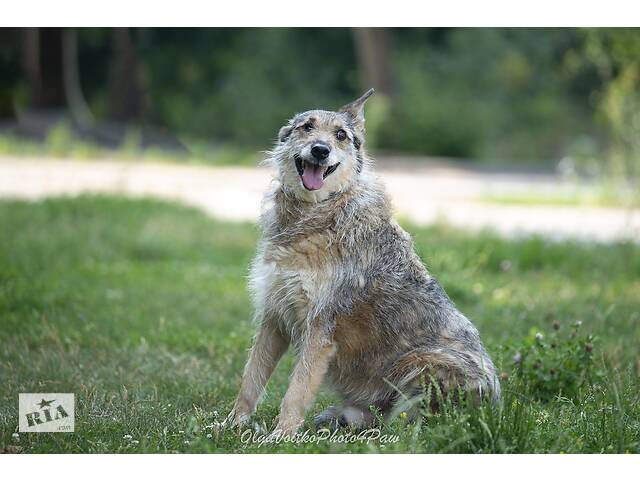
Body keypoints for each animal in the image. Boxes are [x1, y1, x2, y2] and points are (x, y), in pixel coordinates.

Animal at [225, 88, 500, 436]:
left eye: (341, 135)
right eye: (307, 127)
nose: (320, 150)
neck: (313, 216)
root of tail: (495, 407)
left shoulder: (320, 331)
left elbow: (295, 392)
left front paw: (280, 437)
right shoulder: (273, 318)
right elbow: (250, 381)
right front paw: (228, 426)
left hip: (418, 364)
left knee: (407, 427)